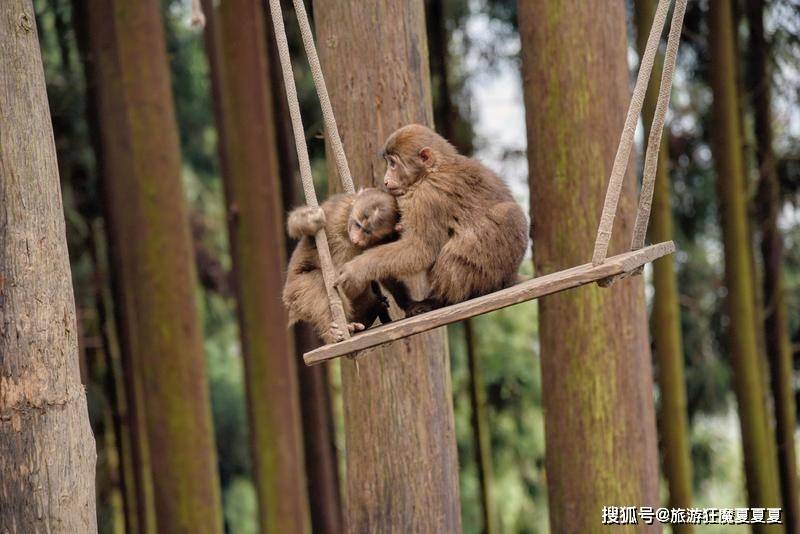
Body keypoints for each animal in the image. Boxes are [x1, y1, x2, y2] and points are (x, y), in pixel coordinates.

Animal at [284, 188, 404, 344]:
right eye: (358, 225)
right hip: (294, 293)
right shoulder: (337, 208)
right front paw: (310, 220)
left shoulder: (385, 238)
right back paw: (333, 332)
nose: (356, 239)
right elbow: (296, 224)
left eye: (367, 232)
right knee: (317, 281)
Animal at [334, 123, 528, 312]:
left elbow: (420, 249)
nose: (386, 179)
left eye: (393, 163)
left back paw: (440, 301)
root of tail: (508, 277)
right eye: (388, 162)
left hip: (484, 276)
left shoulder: (427, 196)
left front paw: (357, 269)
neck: (433, 170)